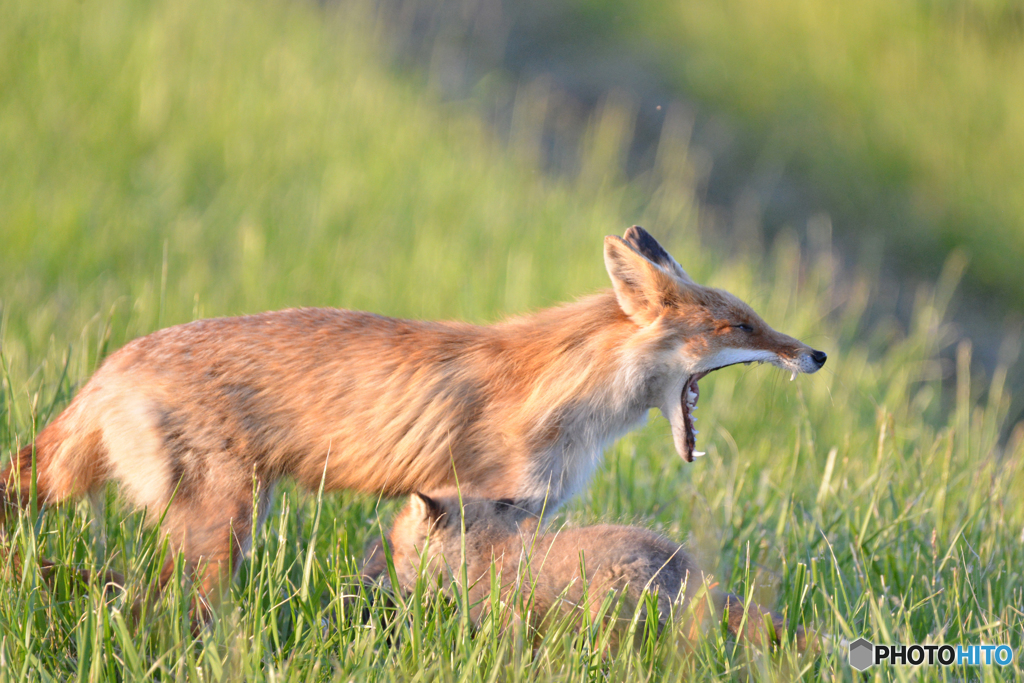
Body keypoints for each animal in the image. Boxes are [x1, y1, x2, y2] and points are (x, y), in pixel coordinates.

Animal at [0, 225, 827, 614]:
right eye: (740, 326)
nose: (816, 352)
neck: (564, 393)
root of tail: (111, 365)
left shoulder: (506, 513)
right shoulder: (475, 502)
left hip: (235, 514)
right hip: (220, 526)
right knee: (160, 607)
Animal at [385, 491, 806, 651]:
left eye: (397, 550)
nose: (394, 583)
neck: (485, 550)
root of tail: (688, 567)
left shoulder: (509, 618)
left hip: (611, 607)